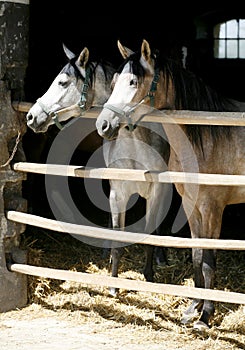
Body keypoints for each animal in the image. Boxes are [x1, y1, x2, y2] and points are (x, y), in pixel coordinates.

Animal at [95, 39, 245, 330]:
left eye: (133, 82)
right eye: (114, 81)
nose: (103, 124)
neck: (206, 135)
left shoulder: (212, 208)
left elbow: (209, 261)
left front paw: (206, 316)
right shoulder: (191, 204)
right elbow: (197, 255)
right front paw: (193, 308)